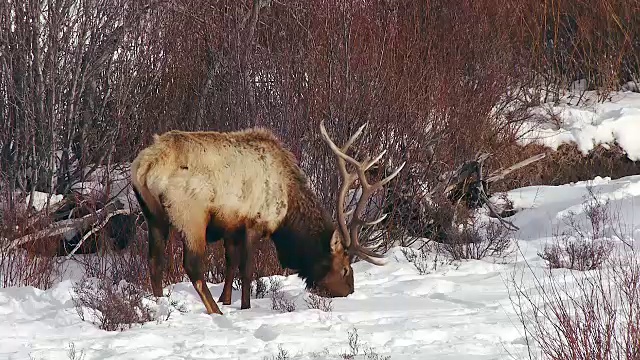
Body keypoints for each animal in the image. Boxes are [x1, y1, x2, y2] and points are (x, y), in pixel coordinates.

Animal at [129, 121, 404, 316]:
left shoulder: (231, 225)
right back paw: (215, 313)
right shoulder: (255, 223)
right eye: (345, 268)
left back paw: (160, 306)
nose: (349, 292)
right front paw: (243, 307)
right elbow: (247, 269)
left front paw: (225, 300)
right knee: (192, 266)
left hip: (152, 214)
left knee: (154, 262)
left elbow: (230, 264)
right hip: (190, 214)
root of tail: (146, 165)